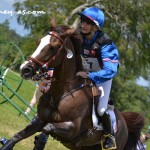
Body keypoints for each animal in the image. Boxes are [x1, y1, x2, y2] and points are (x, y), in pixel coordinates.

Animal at [0, 19, 145, 150]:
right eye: (39, 42)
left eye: (51, 48)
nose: (25, 69)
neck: (61, 93)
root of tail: (125, 123)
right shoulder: (39, 121)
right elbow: (17, 136)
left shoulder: (72, 130)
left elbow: (48, 128)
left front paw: (40, 140)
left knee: (103, 111)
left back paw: (109, 140)